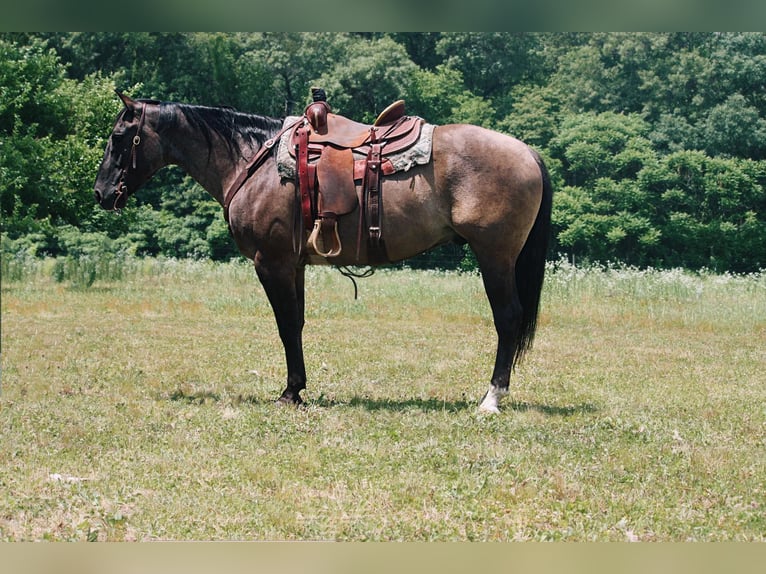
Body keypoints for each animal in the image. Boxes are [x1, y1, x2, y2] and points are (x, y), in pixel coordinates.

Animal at [94, 91, 552, 414]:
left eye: (118, 138)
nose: (101, 193)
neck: (252, 162)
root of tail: (527, 151)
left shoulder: (271, 263)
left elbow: (284, 326)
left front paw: (289, 392)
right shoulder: (291, 264)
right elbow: (296, 324)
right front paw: (298, 388)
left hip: (495, 257)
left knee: (508, 319)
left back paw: (491, 398)